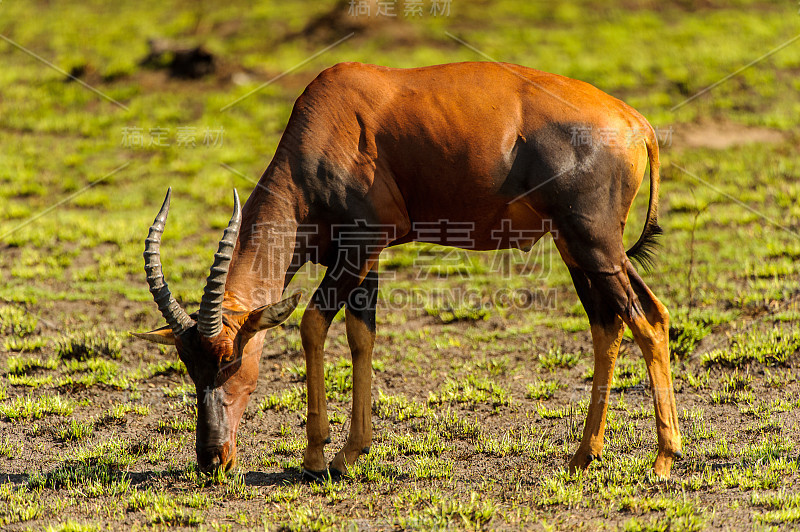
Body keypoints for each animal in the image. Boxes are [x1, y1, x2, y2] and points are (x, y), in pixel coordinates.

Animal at [134, 61, 684, 478]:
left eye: (231, 359)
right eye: (187, 364)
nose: (212, 460)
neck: (332, 119)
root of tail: (636, 123)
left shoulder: (359, 247)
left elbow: (312, 324)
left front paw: (317, 457)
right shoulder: (364, 257)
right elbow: (361, 334)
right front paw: (351, 452)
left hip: (595, 245)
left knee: (646, 318)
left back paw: (662, 459)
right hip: (578, 249)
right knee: (612, 321)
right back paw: (583, 456)